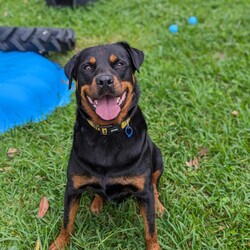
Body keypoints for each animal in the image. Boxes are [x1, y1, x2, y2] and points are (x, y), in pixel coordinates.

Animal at [49, 42, 165, 249]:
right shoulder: (72, 188)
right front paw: (59, 243)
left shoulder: (143, 192)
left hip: (158, 157)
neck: (107, 132)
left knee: (154, 183)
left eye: (119, 63)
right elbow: (66, 221)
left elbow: (150, 230)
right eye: (87, 67)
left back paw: (159, 205)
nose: (104, 81)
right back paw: (97, 202)